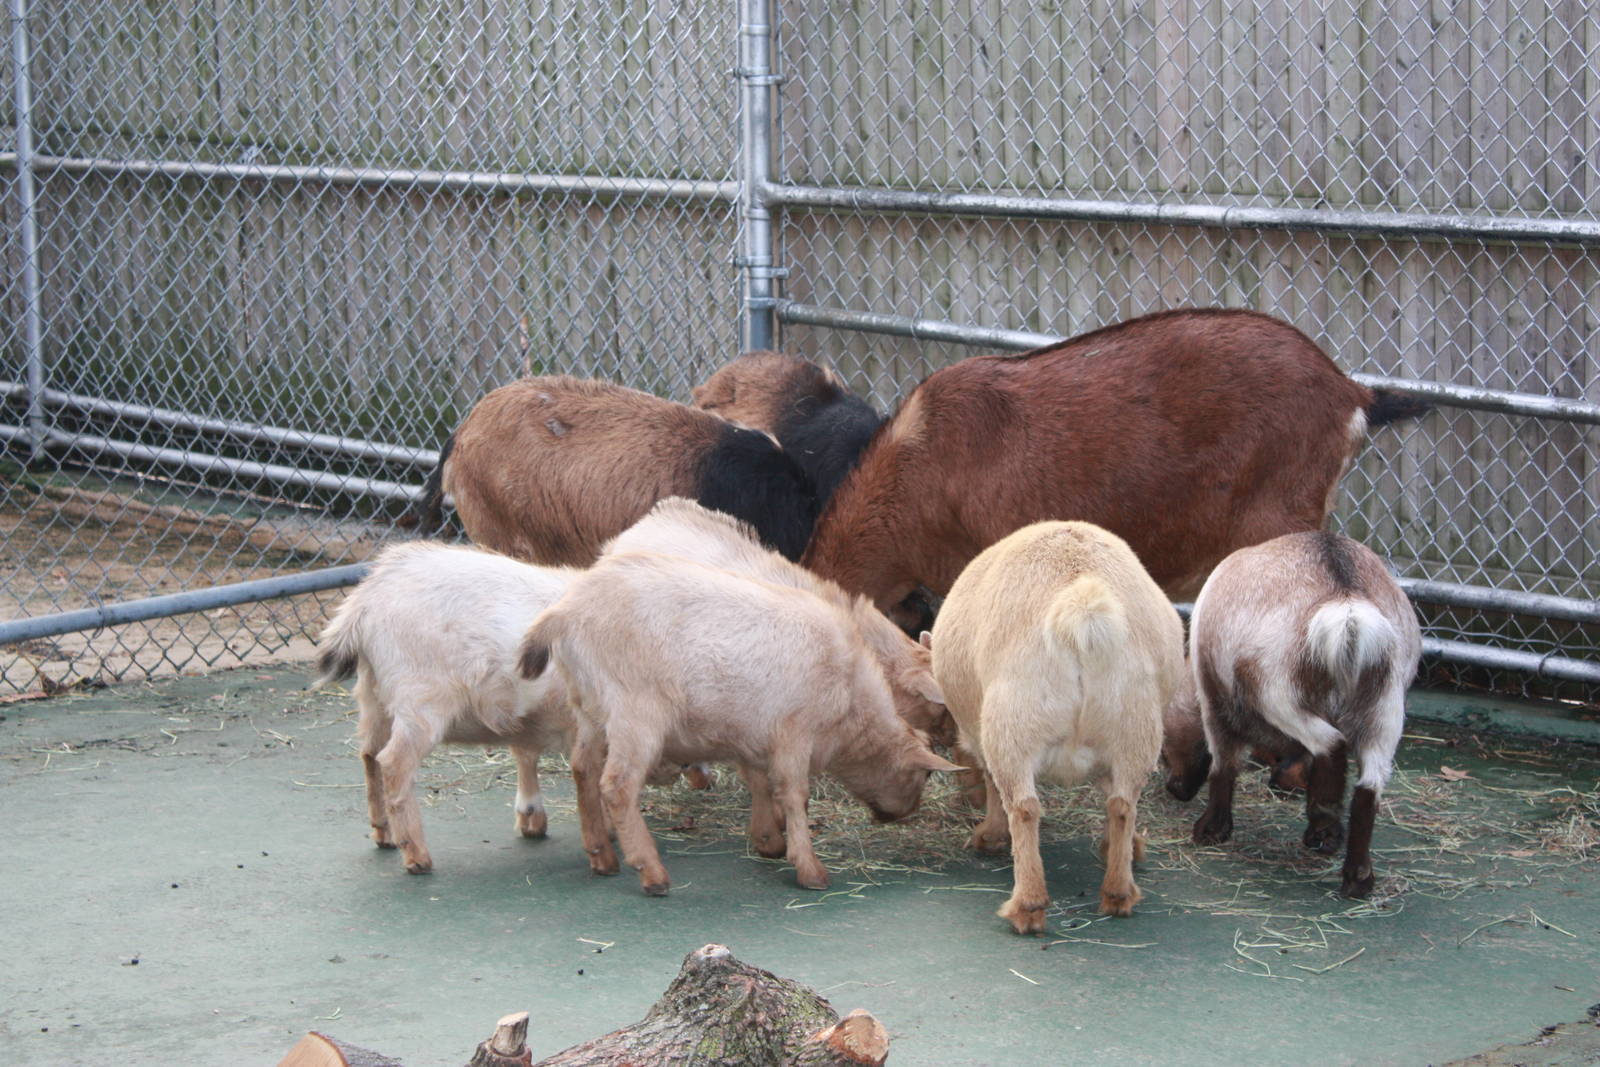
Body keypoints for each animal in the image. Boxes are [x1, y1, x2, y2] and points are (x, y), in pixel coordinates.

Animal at [518, 552, 959, 895]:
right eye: (925, 776)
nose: (900, 815)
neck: (852, 706)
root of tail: (565, 613)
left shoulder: (754, 734)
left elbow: (760, 782)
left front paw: (768, 841)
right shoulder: (795, 732)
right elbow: (795, 795)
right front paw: (809, 868)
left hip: (589, 708)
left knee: (582, 768)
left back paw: (601, 855)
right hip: (635, 712)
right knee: (617, 785)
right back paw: (651, 872)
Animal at [927, 521, 1184, 933]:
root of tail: (1081, 605)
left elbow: (992, 786)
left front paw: (989, 835)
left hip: (1012, 722)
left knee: (1024, 808)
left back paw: (1027, 906)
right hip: (1135, 723)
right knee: (1122, 804)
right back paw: (1118, 892)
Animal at [1184, 530, 1421, 898]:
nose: (1175, 789)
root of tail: (1347, 604)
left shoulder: (1215, 704)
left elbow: (1223, 764)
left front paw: (1212, 828)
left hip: (1276, 690)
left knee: (1331, 743)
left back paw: (1325, 820)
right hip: (1385, 705)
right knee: (1369, 785)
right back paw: (1357, 875)